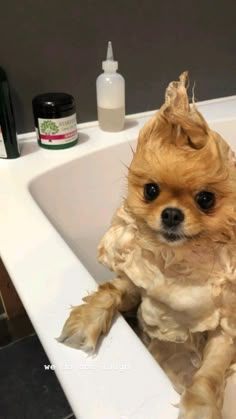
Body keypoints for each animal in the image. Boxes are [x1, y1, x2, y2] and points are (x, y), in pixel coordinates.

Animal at [58, 73, 236, 419]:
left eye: (205, 199)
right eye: (151, 191)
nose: (171, 213)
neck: (176, 264)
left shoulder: (224, 326)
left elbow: (209, 373)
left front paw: (200, 407)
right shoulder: (138, 287)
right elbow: (110, 291)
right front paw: (86, 320)